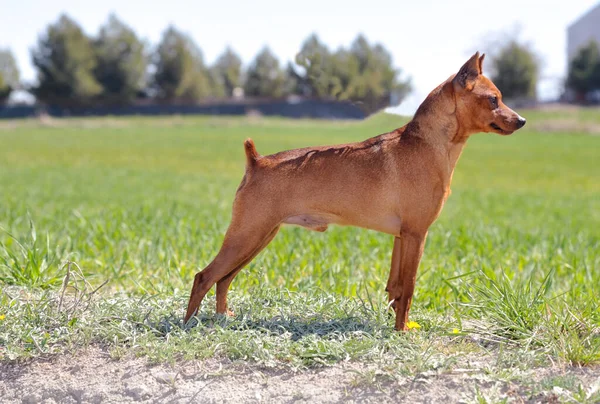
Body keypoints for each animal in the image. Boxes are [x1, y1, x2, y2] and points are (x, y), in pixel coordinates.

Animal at [183, 52, 524, 332]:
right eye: (493, 99)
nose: (521, 120)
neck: (427, 144)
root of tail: (257, 161)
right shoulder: (417, 234)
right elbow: (410, 287)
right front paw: (402, 333)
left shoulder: (402, 237)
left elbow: (396, 288)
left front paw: (396, 325)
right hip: (247, 234)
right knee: (204, 276)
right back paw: (188, 325)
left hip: (259, 237)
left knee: (223, 278)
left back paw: (222, 317)